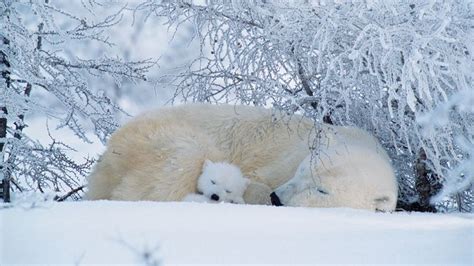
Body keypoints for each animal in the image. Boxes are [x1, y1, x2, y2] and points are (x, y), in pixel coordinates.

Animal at [85, 104, 396, 212]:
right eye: (301, 171)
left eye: (322, 190)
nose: (277, 198)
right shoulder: (280, 161)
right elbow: (252, 180)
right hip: (158, 137)